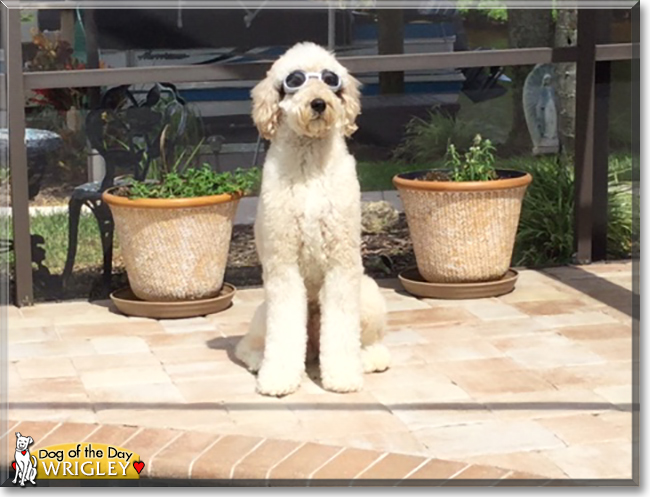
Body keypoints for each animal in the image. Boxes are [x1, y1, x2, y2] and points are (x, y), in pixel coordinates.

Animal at [235, 43, 392, 400]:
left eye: (330, 79)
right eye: (294, 80)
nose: (318, 103)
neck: (309, 162)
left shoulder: (341, 262)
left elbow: (342, 328)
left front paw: (343, 377)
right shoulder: (283, 264)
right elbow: (284, 329)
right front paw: (278, 379)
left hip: (370, 294)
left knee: (368, 341)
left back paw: (369, 358)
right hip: (262, 311)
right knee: (250, 344)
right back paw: (256, 359)